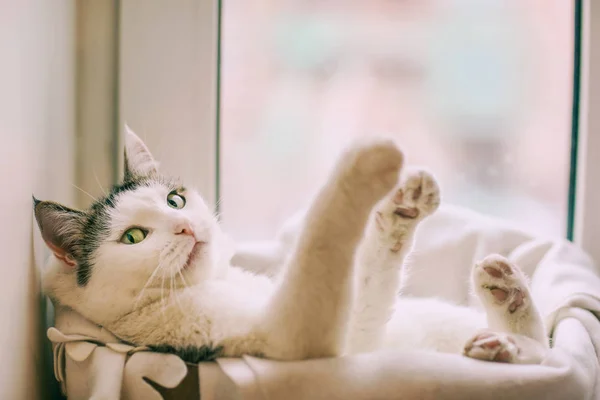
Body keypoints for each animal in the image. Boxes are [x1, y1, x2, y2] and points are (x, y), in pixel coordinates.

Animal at [31, 126, 548, 364]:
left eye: (175, 200)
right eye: (134, 236)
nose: (184, 227)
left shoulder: (358, 330)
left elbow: (371, 273)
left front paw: (401, 207)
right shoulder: (297, 338)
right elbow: (320, 241)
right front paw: (366, 161)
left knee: (549, 351)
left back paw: (507, 306)